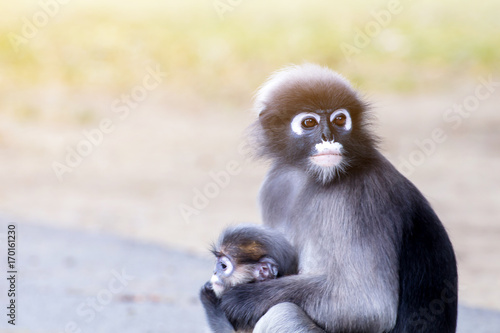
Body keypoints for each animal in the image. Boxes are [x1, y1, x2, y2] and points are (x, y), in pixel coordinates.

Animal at [207, 63, 458, 330]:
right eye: (309, 122)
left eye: (340, 119)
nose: (328, 137)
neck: (311, 178)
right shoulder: (275, 185)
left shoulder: (357, 197)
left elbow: (367, 305)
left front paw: (241, 298)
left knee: (283, 312)